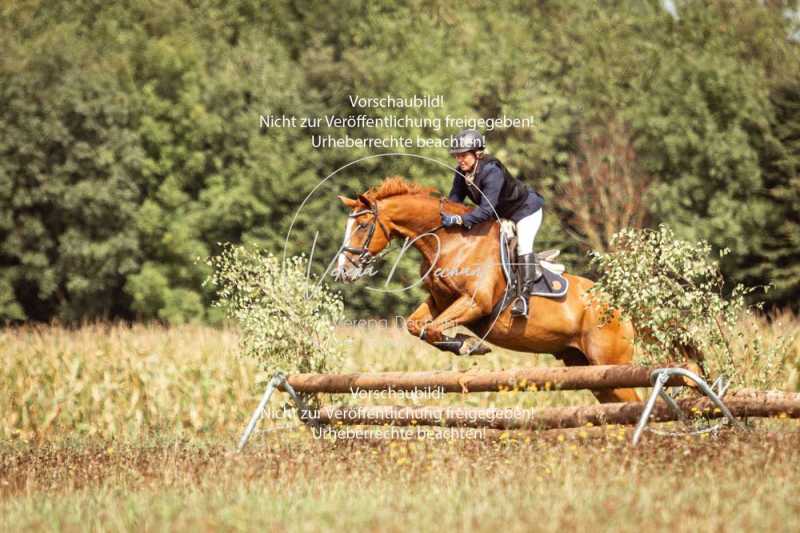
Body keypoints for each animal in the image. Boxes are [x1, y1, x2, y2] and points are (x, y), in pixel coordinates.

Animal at [332, 177, 636, 402]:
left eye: (362, 226)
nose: (342, 272)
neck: (451, 241)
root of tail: (619, 306)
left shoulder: (475, 303)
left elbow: (433, 329)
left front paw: (470, 344)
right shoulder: (440, 301)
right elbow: (416, 326)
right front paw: (466, 343)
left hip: (611, 365)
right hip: (588, 370)